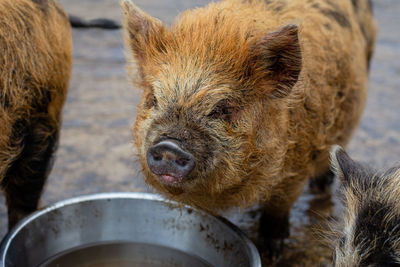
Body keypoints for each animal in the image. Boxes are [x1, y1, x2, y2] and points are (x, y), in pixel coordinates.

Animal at [120, 0, 376, 255]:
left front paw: (270, 250)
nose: (169, 146)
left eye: (223, 108)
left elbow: (277, 211)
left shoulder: (296, 171)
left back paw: (321, 185)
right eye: (153, 98)